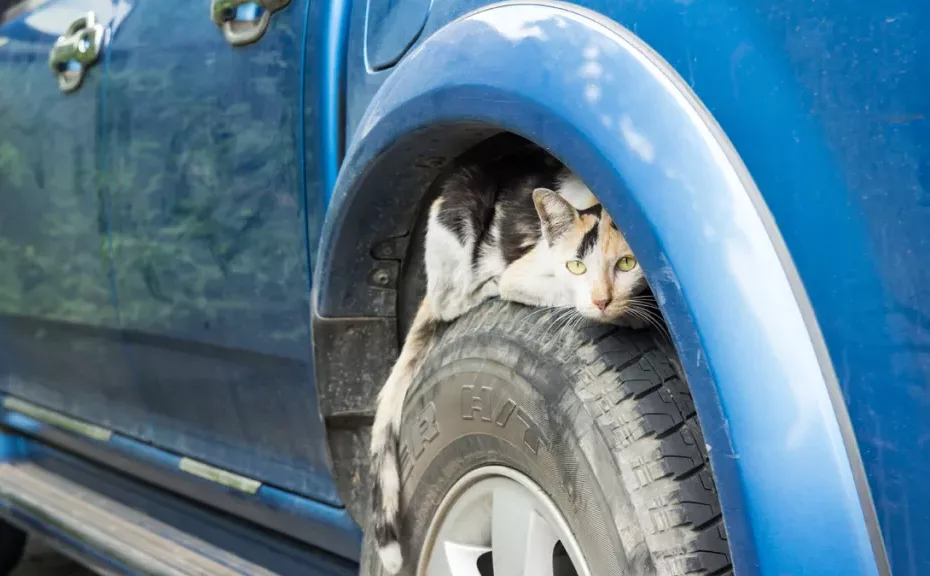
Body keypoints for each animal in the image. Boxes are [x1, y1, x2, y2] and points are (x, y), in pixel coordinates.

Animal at [368, 153, 644, 572]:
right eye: (577, 267)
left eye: (627, 263)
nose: (602, 300)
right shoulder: (526, 275)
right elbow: (560, 294)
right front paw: (628, 315)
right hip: (461, 218)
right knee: (453, 302)